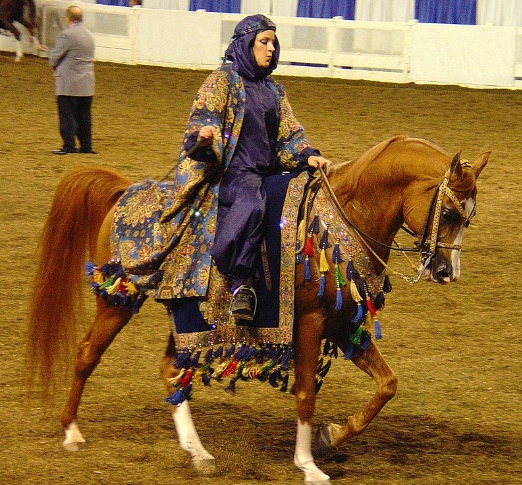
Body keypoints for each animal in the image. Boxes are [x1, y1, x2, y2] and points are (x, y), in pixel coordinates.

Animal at [25, 135, 488, 480]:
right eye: (449, 212)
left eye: (469, 216)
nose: (446, 271)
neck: (341, 221)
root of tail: (126, 191)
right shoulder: (310, 323)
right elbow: (305, 393)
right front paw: (308, 464)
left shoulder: (344, 324)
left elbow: (387, 385)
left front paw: (331, 436)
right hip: (118, 301)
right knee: (87, 354)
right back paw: (71, 432)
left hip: (185, 320)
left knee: (171, 370)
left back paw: (198, 452)